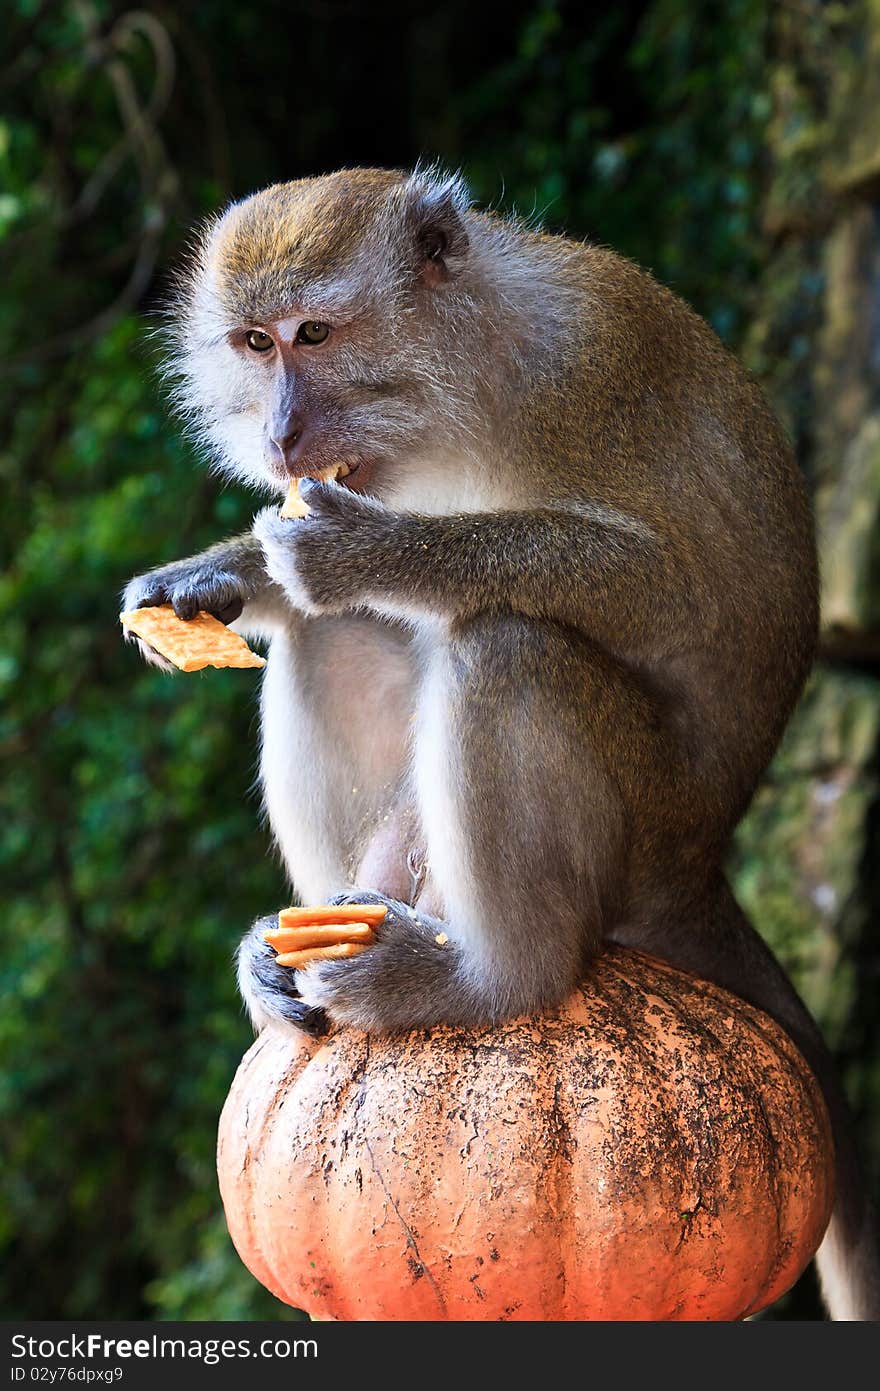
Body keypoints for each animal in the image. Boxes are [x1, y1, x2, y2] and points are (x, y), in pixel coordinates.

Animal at [123, 165, 878, 1313]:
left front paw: (370, 552)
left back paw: (487, 978)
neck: (468, 373)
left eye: (313, 333)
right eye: (254, 345)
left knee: (510, 642)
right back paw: (298, 946)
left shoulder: (584, 376)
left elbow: (680, 596)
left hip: (644, 820)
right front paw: (211, 576)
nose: (281, 438)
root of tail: (701, 862)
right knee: (334, 635)